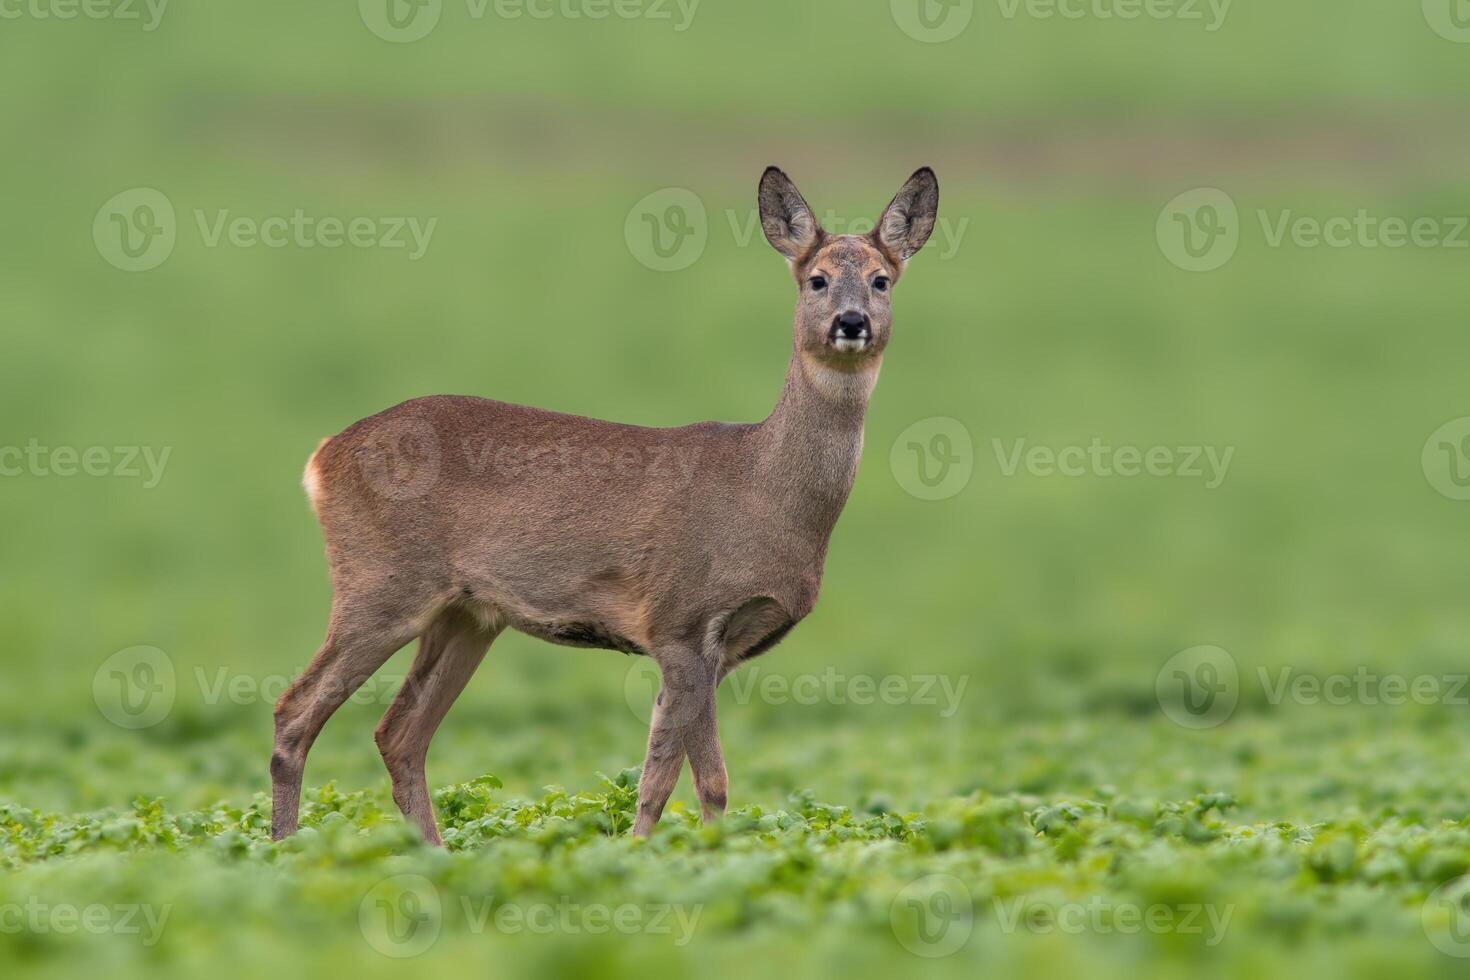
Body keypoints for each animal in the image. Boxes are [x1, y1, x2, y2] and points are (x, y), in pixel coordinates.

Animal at [271, 168, 940, 846]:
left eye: (882, 279)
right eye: (817, 279)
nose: (852, 321)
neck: (765, 493)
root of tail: (323, 456)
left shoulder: (714, 650)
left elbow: (669, 777)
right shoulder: (682, 619)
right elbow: (699, 781)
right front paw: (683, 855)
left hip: (467, 614)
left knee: (399, 732)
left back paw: (430, 855)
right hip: (382, 581)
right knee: (295, 711)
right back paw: (282, 848)